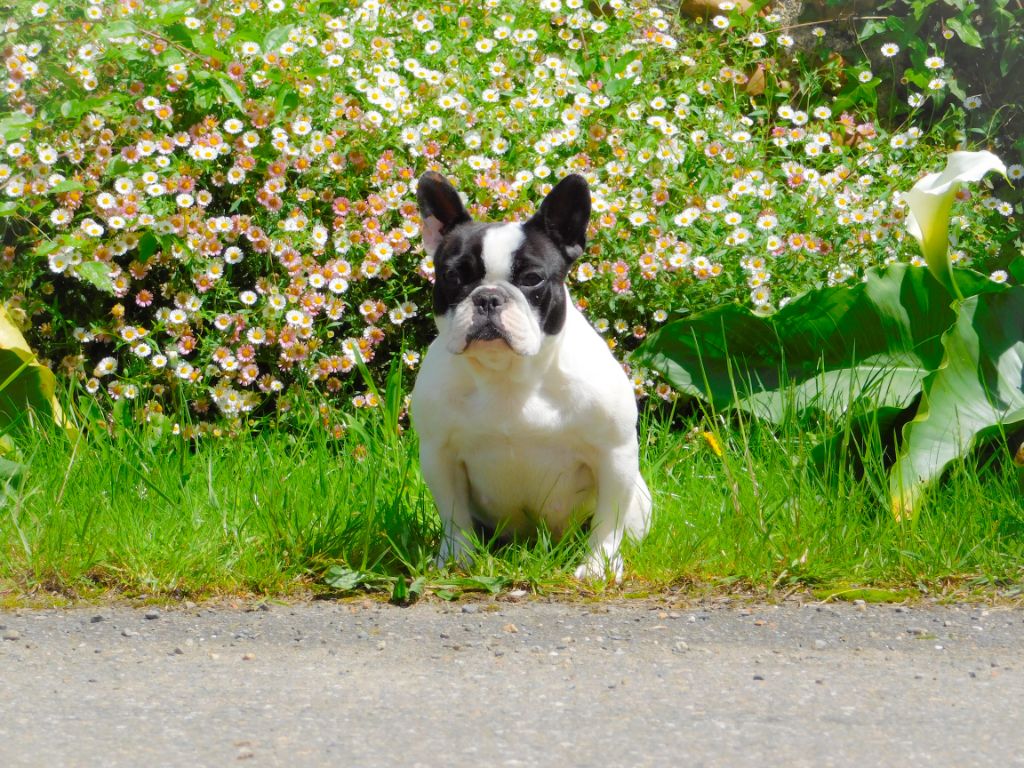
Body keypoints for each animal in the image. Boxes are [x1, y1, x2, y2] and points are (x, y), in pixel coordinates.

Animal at [410, 171, 652, 582]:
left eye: (532, 278)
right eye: (453, 276)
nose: (488, 297)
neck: (508, 374)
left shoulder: (614, 454)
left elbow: (608, 520)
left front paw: (598, 565)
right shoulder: (439, 454)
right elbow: (454, 516)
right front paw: (458, 559)